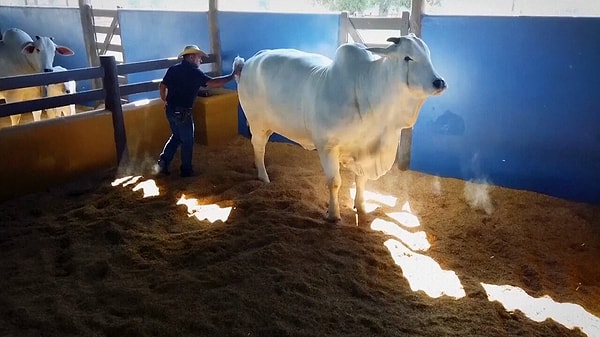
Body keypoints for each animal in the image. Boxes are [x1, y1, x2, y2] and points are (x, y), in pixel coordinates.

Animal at [234, 34, 446, 222]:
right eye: (407, 57)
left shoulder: (364, 151)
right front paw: (333, 214)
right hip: (257, 123)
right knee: (259, 147)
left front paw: (361, 206)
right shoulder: (327, 146)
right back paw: (263, 176)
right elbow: (334, 182)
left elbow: (361, 181)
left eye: (428, 54)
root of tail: (247, 63)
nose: (439, 82)